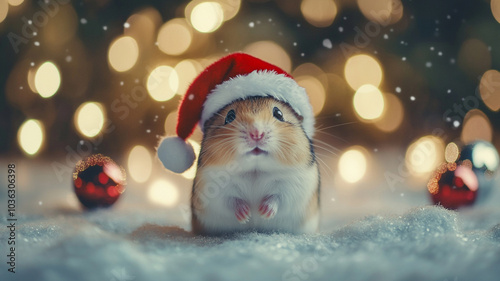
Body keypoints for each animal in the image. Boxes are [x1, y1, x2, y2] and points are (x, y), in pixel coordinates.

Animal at [191, 96, 320, 234]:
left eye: (279, 114)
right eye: (229, 116)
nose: (256, 134)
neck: (255, 171)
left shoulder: (293, 186)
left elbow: (277, 197)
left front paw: (263, 212)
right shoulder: (214, 190)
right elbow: (232, 200)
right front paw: (246, 216)